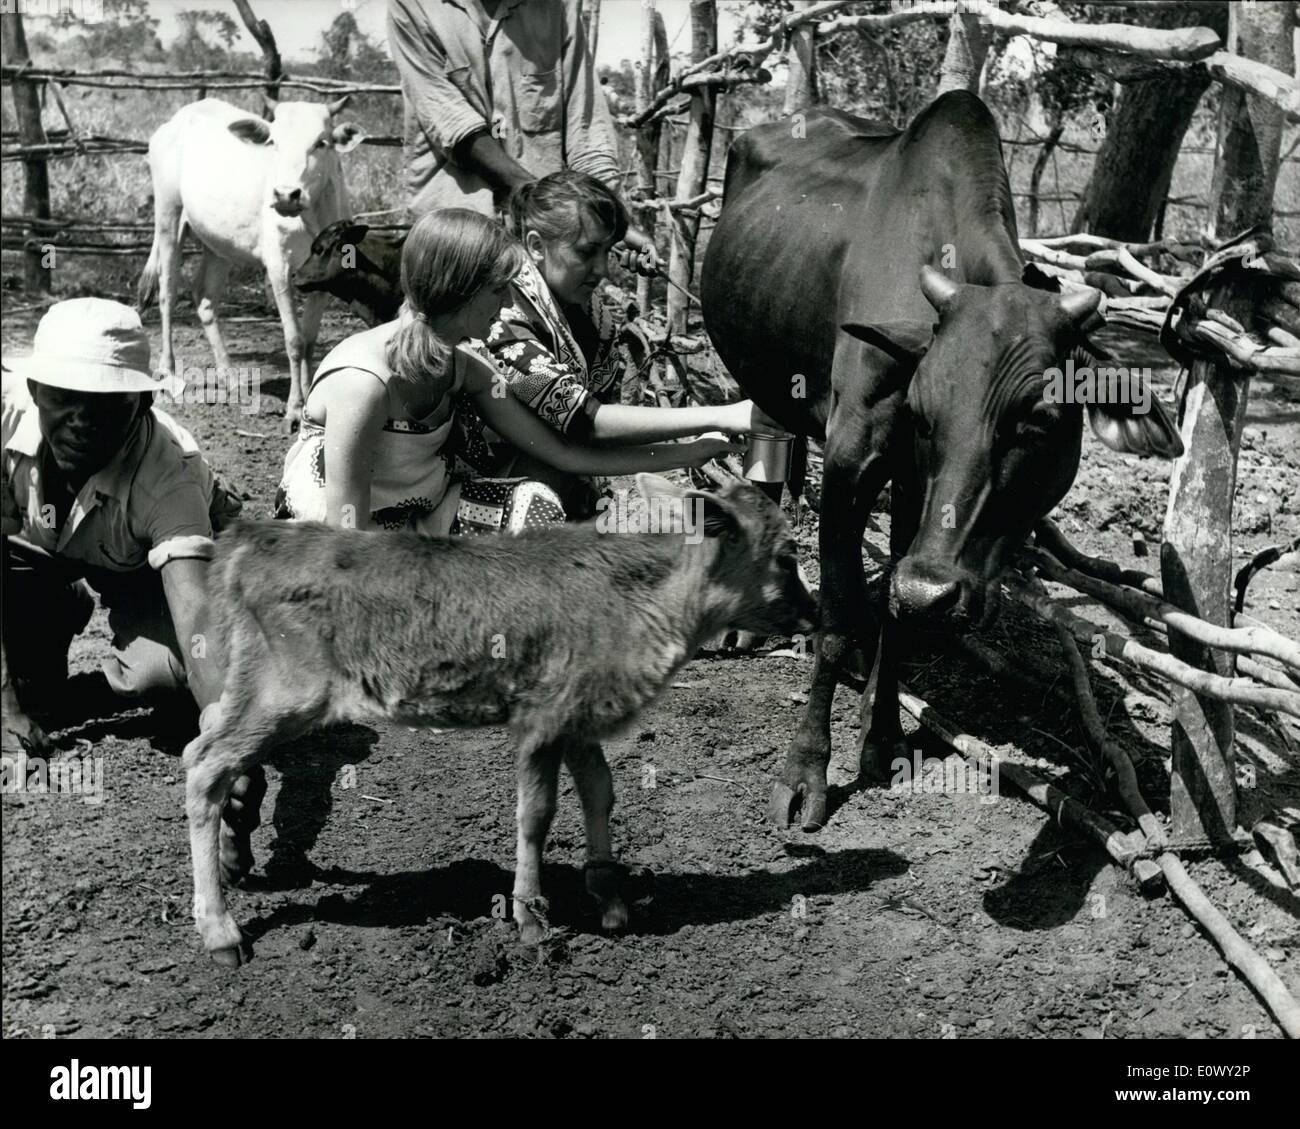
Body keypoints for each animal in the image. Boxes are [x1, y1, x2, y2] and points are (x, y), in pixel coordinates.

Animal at [139, 96, 366, 429]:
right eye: (274, 142)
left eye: (321, 143)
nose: (286, 195)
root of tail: (179, 119)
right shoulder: (279, 268)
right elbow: (294, 340)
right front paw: (294, 409)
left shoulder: (326, 280)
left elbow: (310, 341)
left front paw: (309, 404)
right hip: (169, 218)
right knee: (167, 293)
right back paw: (167, 373)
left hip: (218, 243)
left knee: (204, 298)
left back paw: (229, 377)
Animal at [185, 470, 811, 967]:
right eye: (787, 556)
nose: (816, 614)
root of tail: (250, 538)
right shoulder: (542, 715)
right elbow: (536, 814)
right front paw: (531, 919)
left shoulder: (578, 716)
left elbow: (600, 792)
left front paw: (609, 899)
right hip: (287, 692)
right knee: (204, 767)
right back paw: (220, 931)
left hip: (254, 686)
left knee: (204, 744)